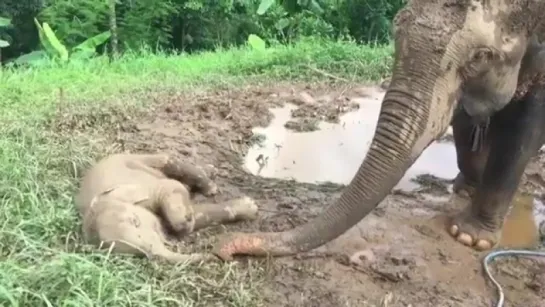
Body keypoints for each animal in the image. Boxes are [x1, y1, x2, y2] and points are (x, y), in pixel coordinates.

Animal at [75, 154, 260, 264]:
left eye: (135, 221)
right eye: (138, 254)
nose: (213, 256)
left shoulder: (144, 186)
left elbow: (172, 187)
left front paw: (251, 206)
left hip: (132, 160)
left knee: (167, 161)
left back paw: (210, 183)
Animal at [211, 0, 544, 262]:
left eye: (481, 56)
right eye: (397, 28)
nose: (223, 248)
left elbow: (522, 134)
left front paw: (468, 237)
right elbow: (462, 118)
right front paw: (467, 190)